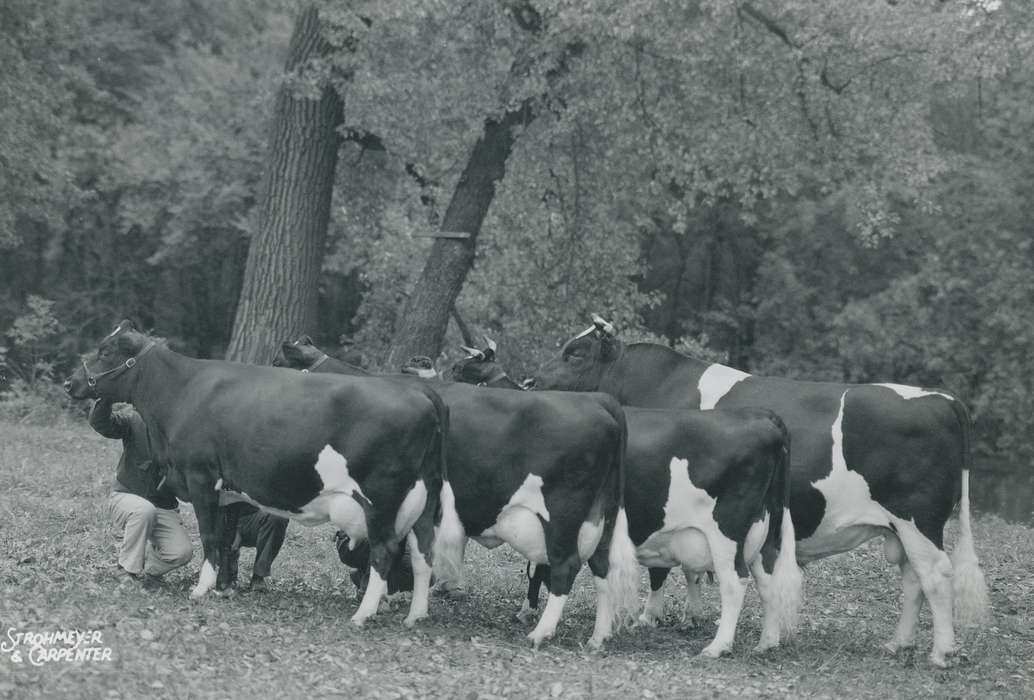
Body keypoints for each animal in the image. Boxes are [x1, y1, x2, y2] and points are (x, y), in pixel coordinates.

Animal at [64, 321, 457, 630]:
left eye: (105, 351)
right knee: (423, 552)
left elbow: (208, 536)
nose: (70, 383)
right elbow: (224, 539)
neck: (181, 393)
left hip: (381, 497)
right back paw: (415, 615)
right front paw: (223, 587)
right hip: (425, 498)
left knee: (385, 551)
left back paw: (363, 615)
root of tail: (421, 392)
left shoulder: (200, 477)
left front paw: (201, 590)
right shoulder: (225, 490)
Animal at [274, 336, 641, 649]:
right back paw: (597, 637)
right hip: (601, 516)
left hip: (562, 513)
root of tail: (598, 401)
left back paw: (541, 633)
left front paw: (378, 599)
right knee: (602, 567)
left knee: (566, 566)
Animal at [449, 340, 802, 656]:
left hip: (727, 533)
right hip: (763, 535)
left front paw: (529, 613)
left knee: (735, 583)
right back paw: (766, 642)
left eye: (464, 370)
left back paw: (717, 646)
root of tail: (763, 417)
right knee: (768, 581)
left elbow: (540, 567)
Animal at [529, 314, 991, 667]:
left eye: (575, 353)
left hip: (918, 519)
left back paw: (941, 652)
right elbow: (690, 567)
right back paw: (899, 643)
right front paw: (691, 614)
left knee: (936, 575)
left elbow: (664, 568)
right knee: (914, 579)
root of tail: (943, 398)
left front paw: (651, 616)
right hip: (901, 528)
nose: (530, 381)